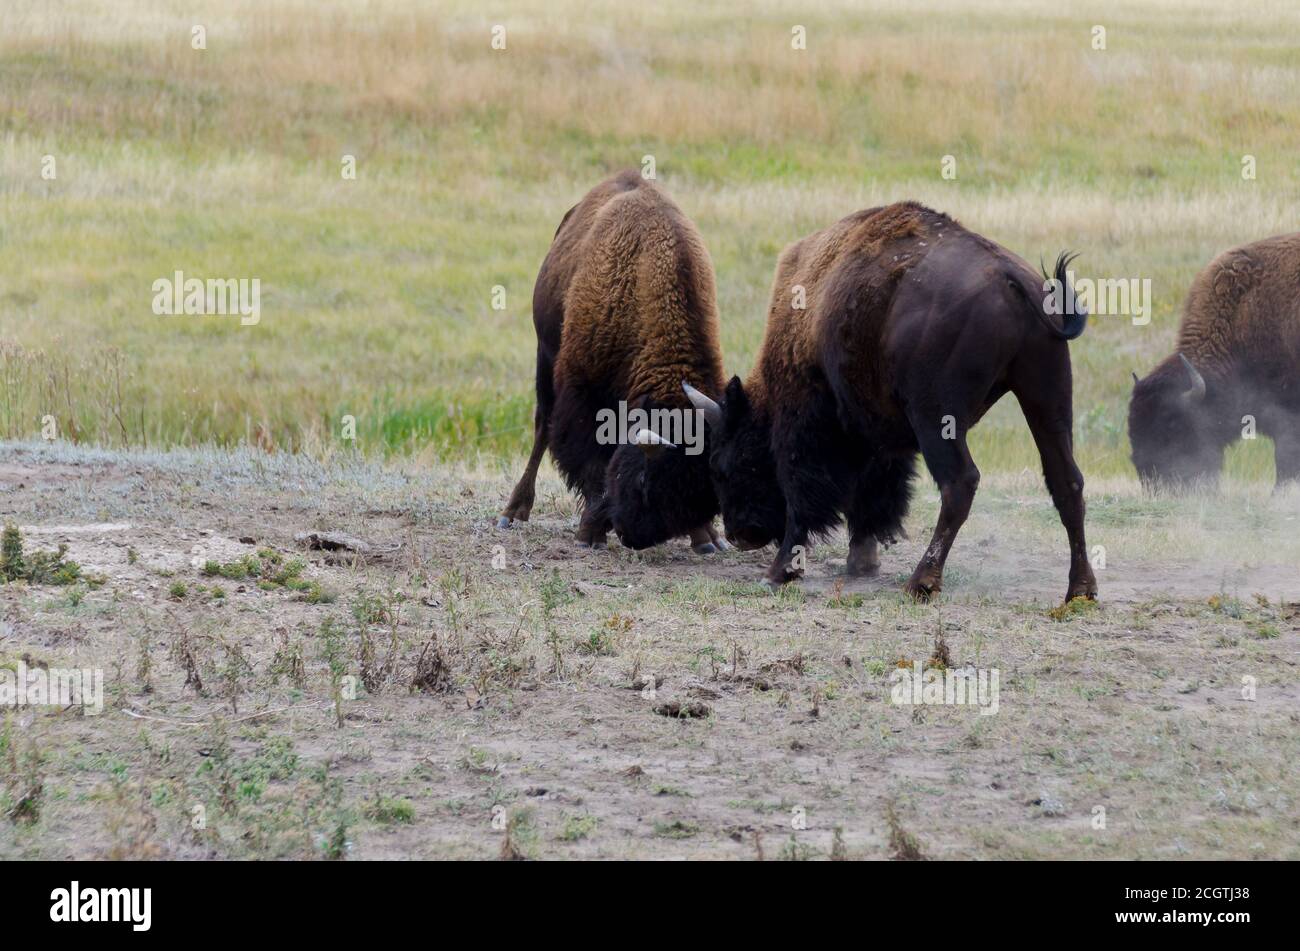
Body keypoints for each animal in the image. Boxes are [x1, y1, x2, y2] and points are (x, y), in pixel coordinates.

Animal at [493, 171, 728, 550]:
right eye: (645, 479)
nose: (634, 535)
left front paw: (707, 538)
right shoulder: (582, 392)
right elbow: (591, 465)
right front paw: (590, 533)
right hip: (544, 355)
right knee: (542, 428)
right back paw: (512, 512)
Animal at [681, 200, 1097, 602]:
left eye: (723, 465)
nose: (739, 535)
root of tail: (1010, 277)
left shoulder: (806, 426)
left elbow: (803, 496)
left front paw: (779, 573)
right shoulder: (876, 431)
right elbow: (874, 492)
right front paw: (862, 561)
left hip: (936, 416)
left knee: (960, 483)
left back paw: (921, 583)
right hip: (1046, 397)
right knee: (1067, 482)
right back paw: (1080, 589)